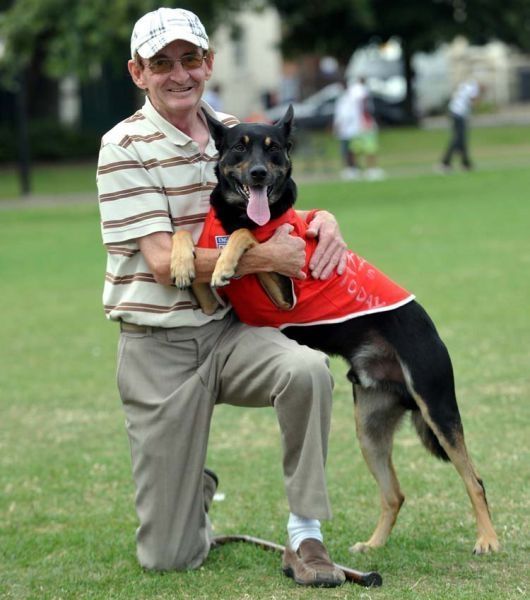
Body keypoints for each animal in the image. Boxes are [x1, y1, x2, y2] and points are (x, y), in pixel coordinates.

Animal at [171, 105, 498, 556]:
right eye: (240, 147)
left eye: (273, 150)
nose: (258, 173)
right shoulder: (213, 300)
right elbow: (186, 237)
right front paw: (182, 263)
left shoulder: (282, 291)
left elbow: (246, 236)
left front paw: (226, 259)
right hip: (369, 427)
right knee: (394, 494)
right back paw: (373, 545)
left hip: (437, 408)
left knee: (475, 480)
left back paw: (487, 539)